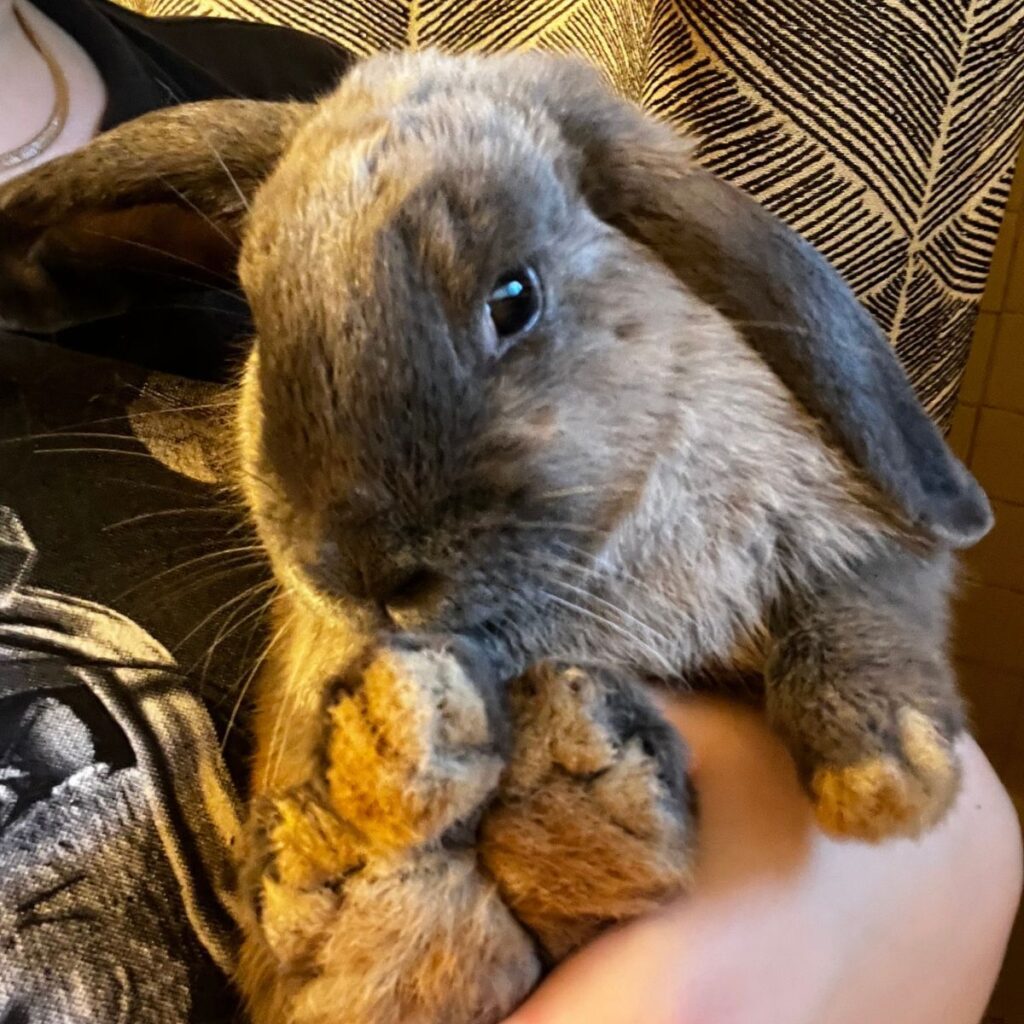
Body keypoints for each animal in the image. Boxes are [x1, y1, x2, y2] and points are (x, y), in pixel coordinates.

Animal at [0, 50, 994, 1024]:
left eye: (515, 298)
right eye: (258, 317)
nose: (361, 575)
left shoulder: (845, 541)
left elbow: (857, 615)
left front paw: (888, 781)